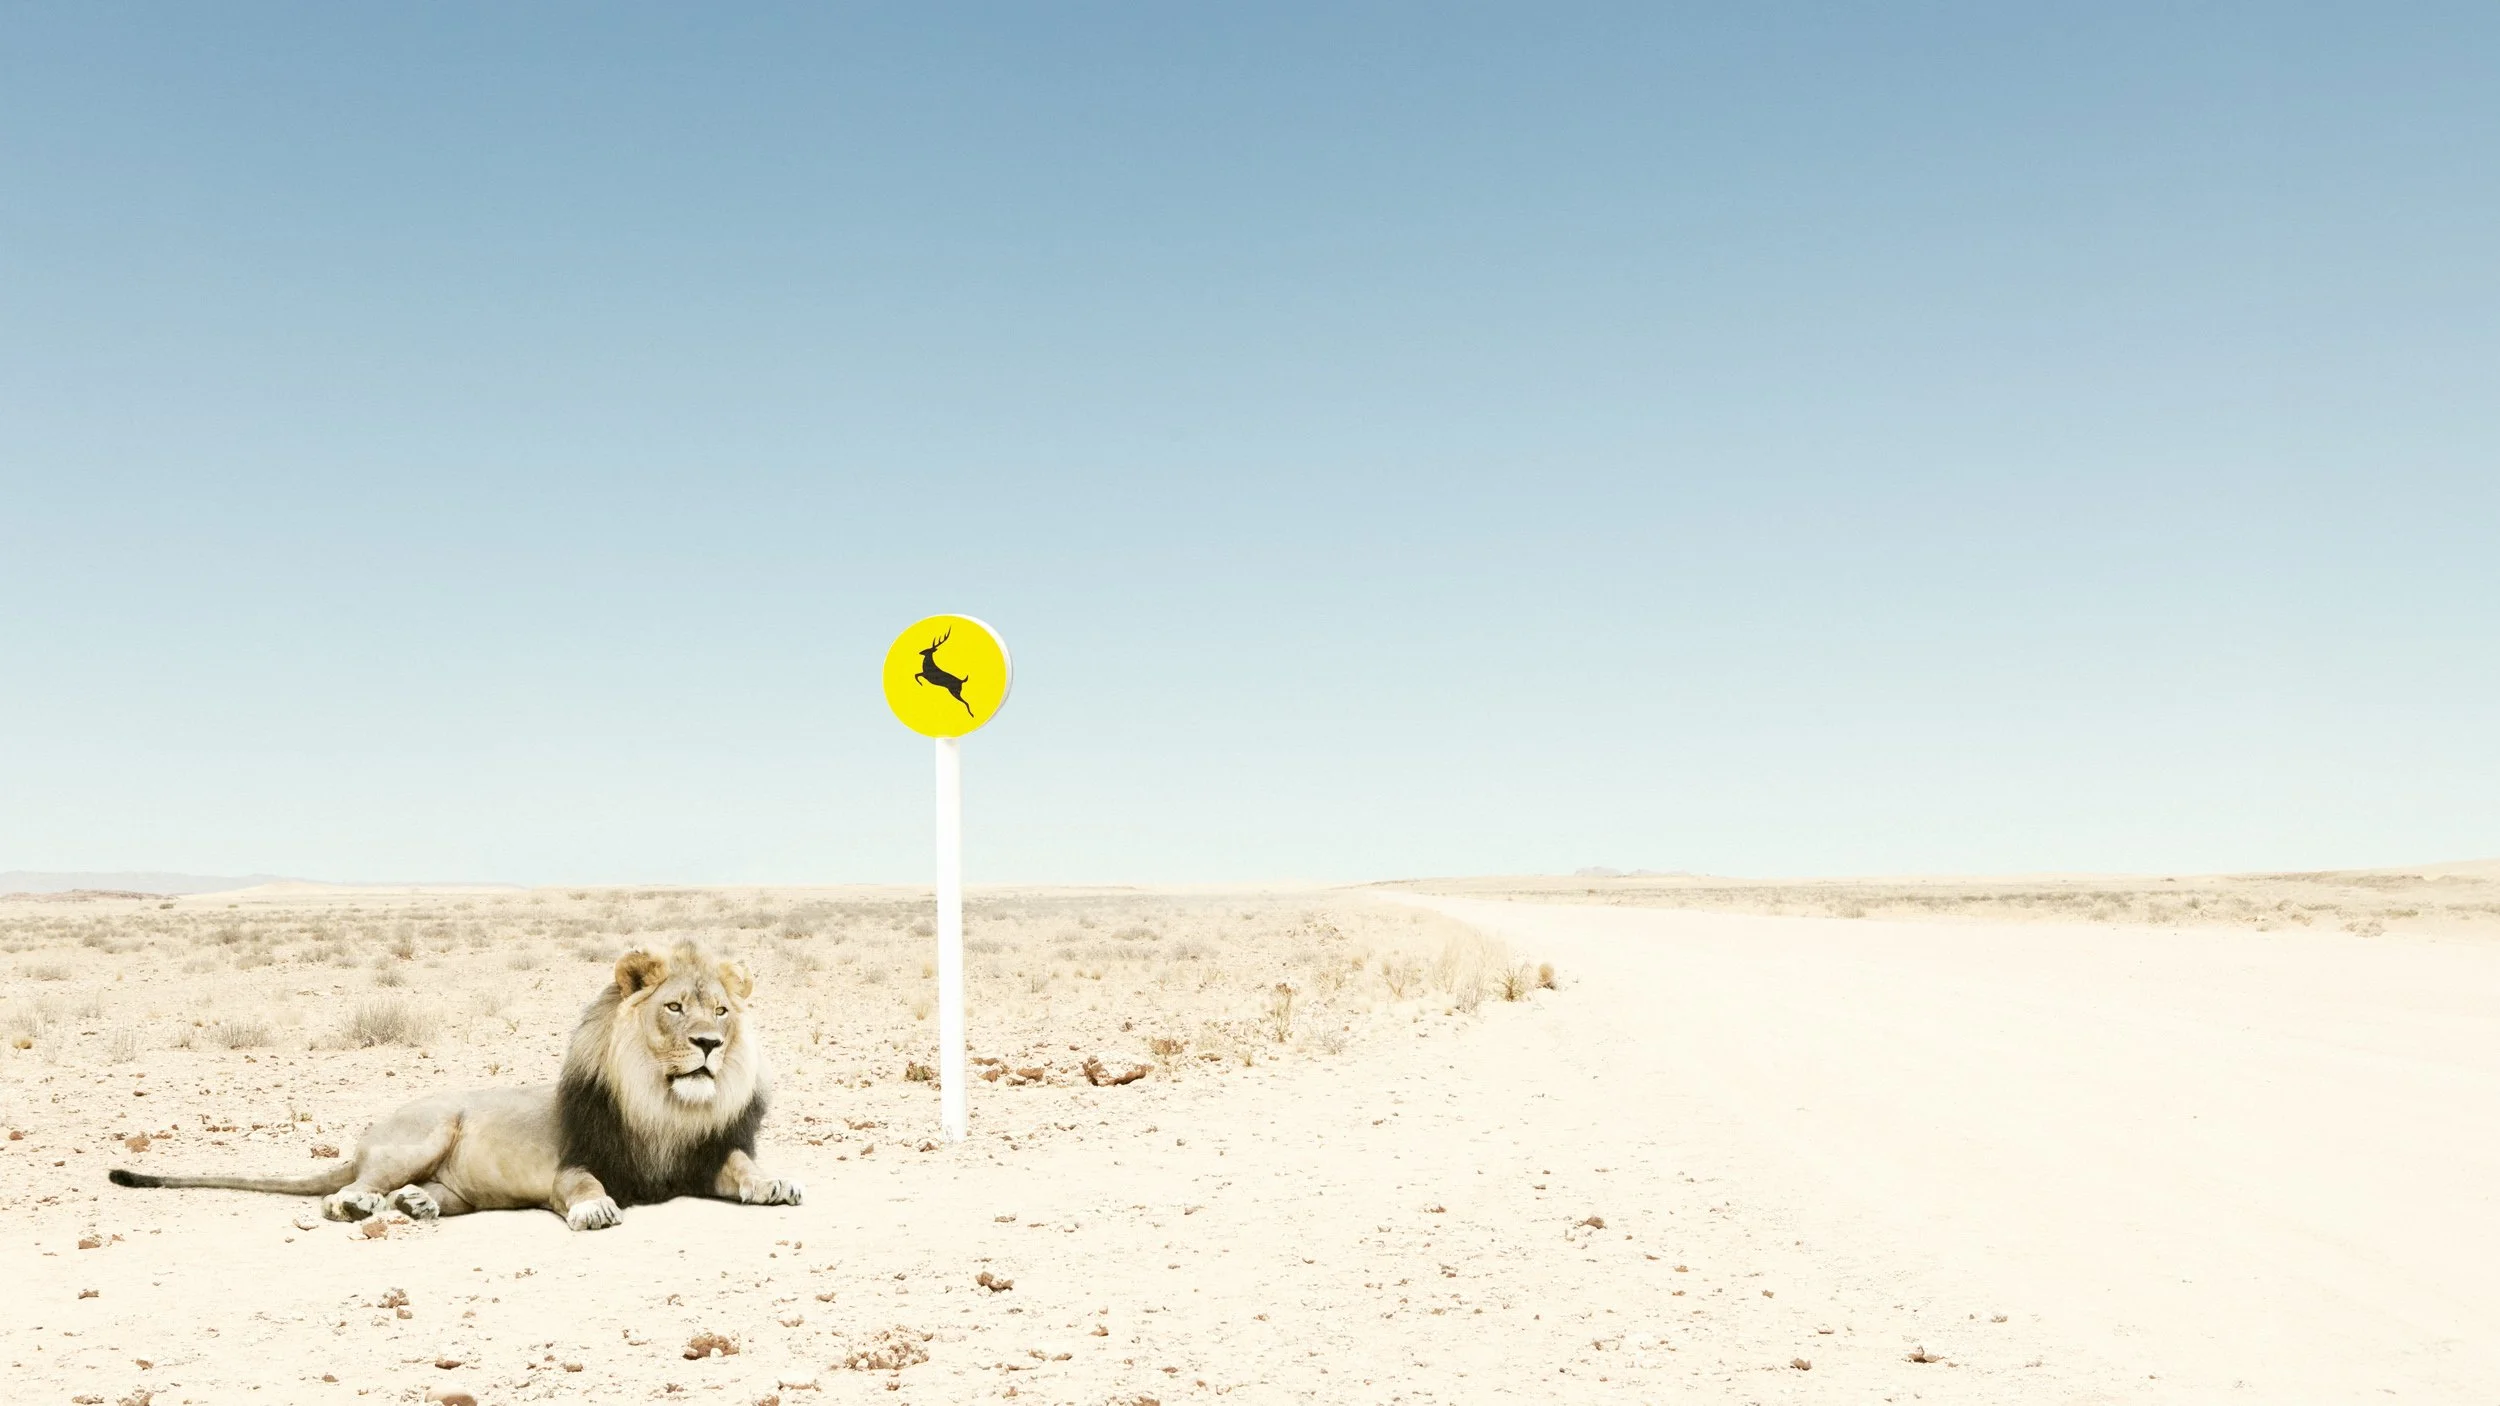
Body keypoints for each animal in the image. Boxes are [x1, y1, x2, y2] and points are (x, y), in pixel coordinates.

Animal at [107, 940, 802, 1231]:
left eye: (721, 1013)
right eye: (675, 1008)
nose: (710, 1046)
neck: (665, 1105)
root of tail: (364, 1140)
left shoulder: (701, 1159)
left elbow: (741, 1167)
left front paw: (774, 1183)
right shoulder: (576, 1162)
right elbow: (582, 1185)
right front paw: (595, 1209)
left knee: (415, 1194)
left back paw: (417, 1205)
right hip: (424, 1132)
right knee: (351, 1190)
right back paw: (356, 1206)